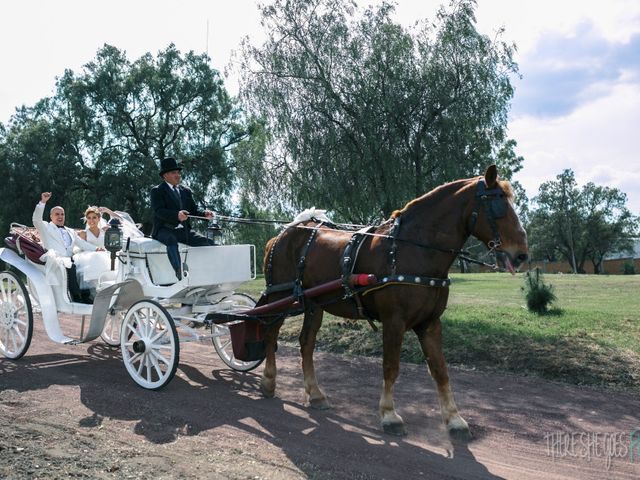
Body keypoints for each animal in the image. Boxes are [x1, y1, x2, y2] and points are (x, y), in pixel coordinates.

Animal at [258, 164, 528, 436]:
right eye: (499, 205)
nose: (521, 254)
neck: (412, 249)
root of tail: (283, 234)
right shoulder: (393, 321)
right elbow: (391, 366)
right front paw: (389, 414)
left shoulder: (430, 323)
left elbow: (440, 370)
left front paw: (454, 418)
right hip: (280, 295)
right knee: (270, 334)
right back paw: (269, 381)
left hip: (314, 304)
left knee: (307, 343)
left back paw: (315, 394)